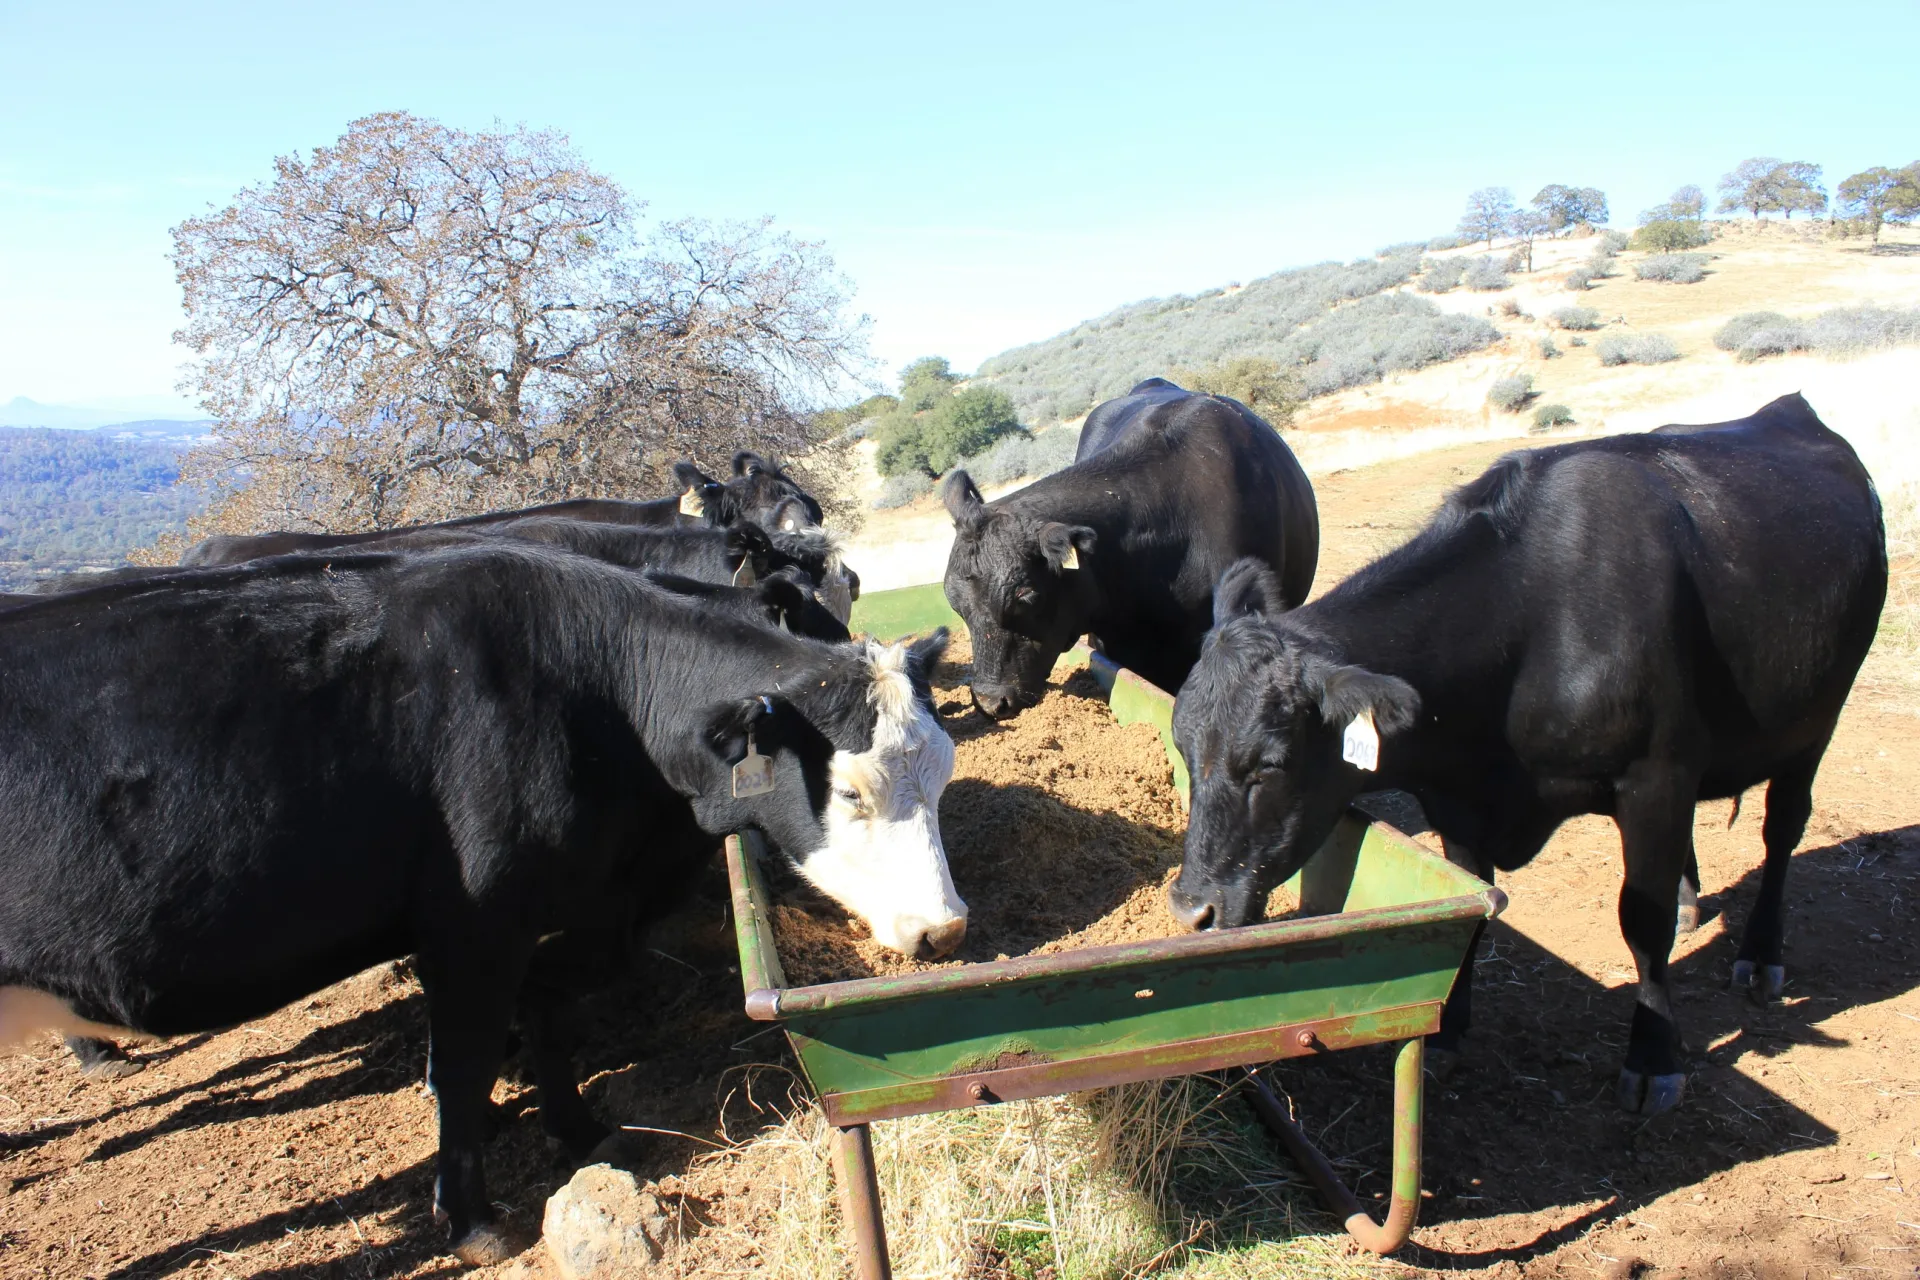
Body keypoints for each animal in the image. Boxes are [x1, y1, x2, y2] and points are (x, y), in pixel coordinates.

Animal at [0, 544, 960, 1263]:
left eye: (944, 772)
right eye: (854, 793)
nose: (944, 929)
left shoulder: (573, 910)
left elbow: (545, 1011)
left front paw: (579, 1128)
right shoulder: (473, 925)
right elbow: (462, 1063)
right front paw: (472, 1223)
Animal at [1166, 393, 1885, 1116]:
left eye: (1269, 766)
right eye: (1183, 750)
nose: (1192, 910)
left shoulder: (1656, 778)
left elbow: (1642, 922)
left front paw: (1654, 1058)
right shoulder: (1458, 806)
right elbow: (1475, 909)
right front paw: (1449, 1030)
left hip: (1816, 720)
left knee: (1782, 831)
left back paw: (1761, 954)